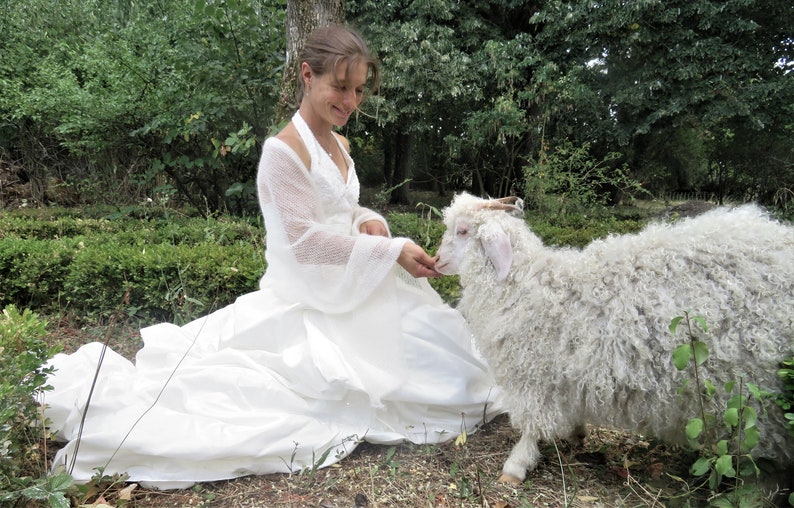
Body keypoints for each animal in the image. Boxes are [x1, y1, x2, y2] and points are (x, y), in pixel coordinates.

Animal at [436, 193, 792, 484]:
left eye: (463, 231)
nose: (437, 261)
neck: (526, 285)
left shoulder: (534, 375)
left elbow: (532, 425)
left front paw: (516, 466)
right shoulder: (567, 373)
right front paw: (578, 432)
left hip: (755, 395)